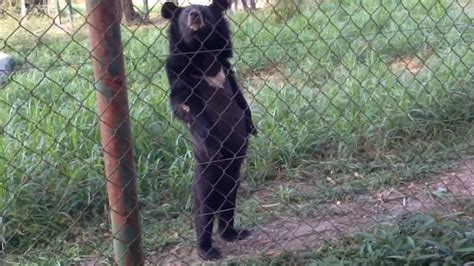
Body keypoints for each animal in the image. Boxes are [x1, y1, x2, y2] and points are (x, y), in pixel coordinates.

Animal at [162, 0, 260, 262]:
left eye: (204, 11)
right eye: (186, 14)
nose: (195, 15)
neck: (203, 52)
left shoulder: (227, 70)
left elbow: (240, 99)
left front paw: (252, 127)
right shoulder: (180, 75)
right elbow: (186, 107)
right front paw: (212, 141)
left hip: (233, 171)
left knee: (228, 197)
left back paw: (232, 233)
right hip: (207, 169)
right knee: (204, 205)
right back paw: (207, 250)